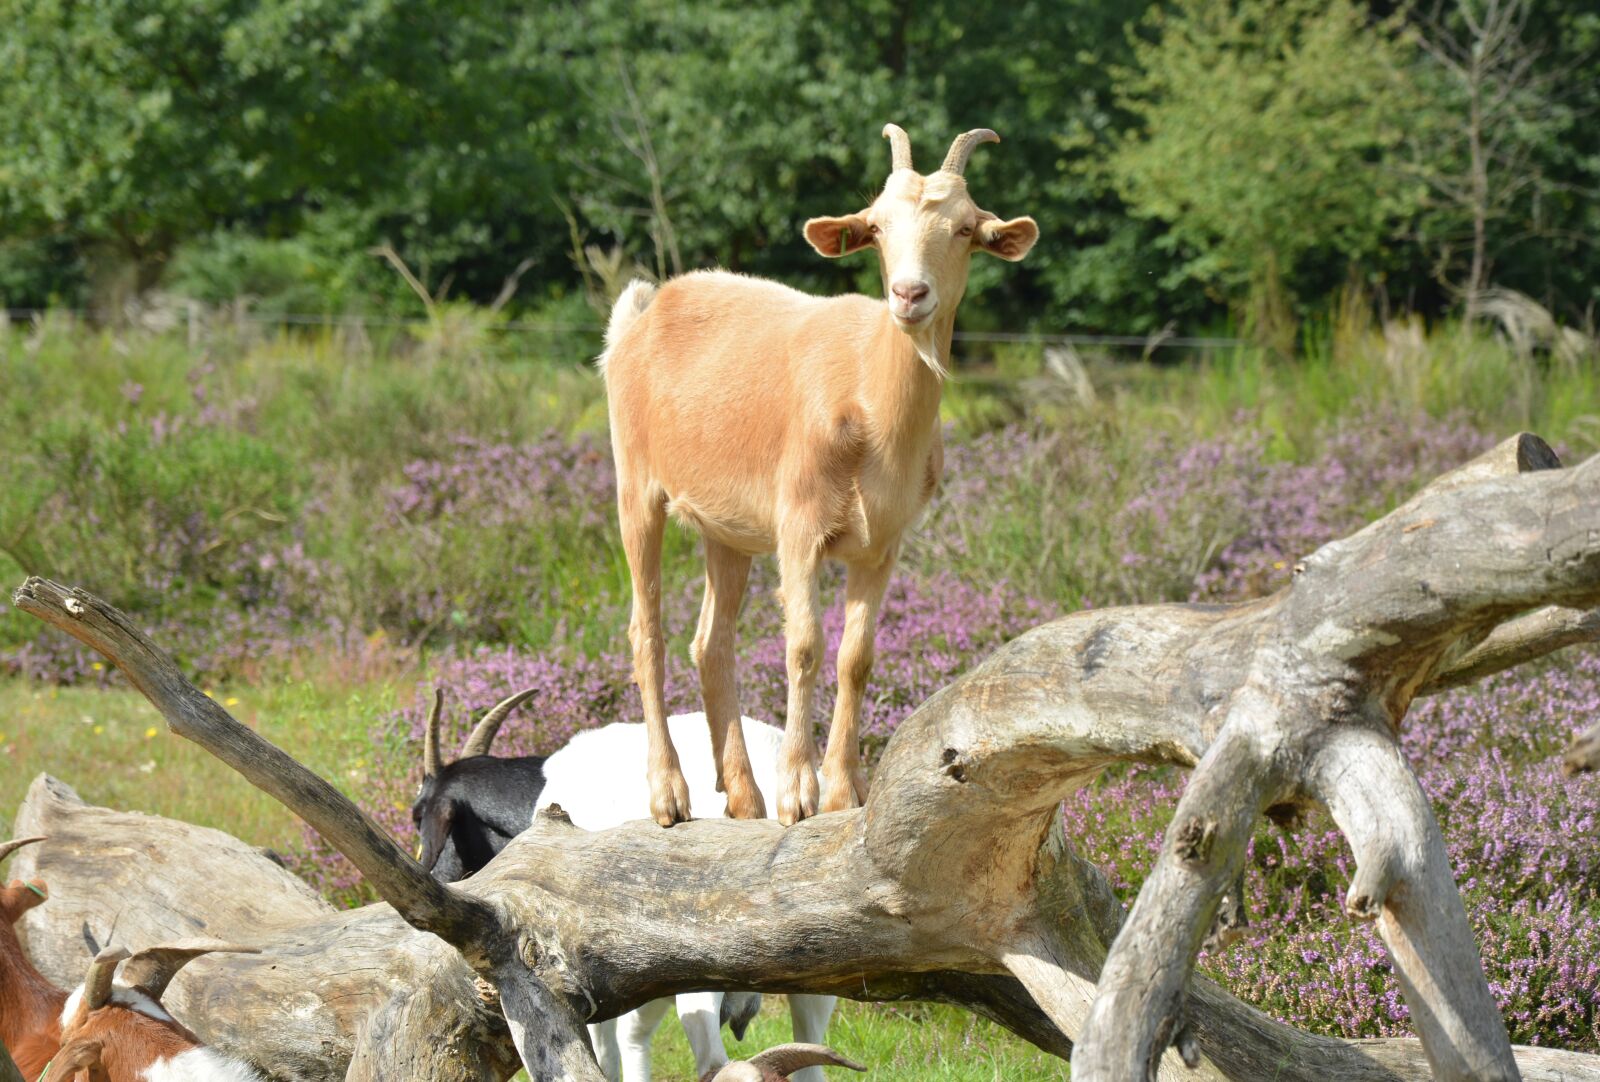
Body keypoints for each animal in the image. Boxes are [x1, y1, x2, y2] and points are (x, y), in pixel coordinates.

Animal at [600, 123, 1038, 827]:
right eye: (877, 227)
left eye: (966, 229)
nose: (909, 295)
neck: (869, 399)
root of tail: (639, 316)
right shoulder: (798, 523)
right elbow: (803, 644)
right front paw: (799, 792)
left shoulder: (883, 542)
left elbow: (856, 656)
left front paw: (843, 790)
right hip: (635, 484)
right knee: (648, 631)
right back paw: (670, 794)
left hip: (727, 529)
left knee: (711, 642)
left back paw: (743, 796)